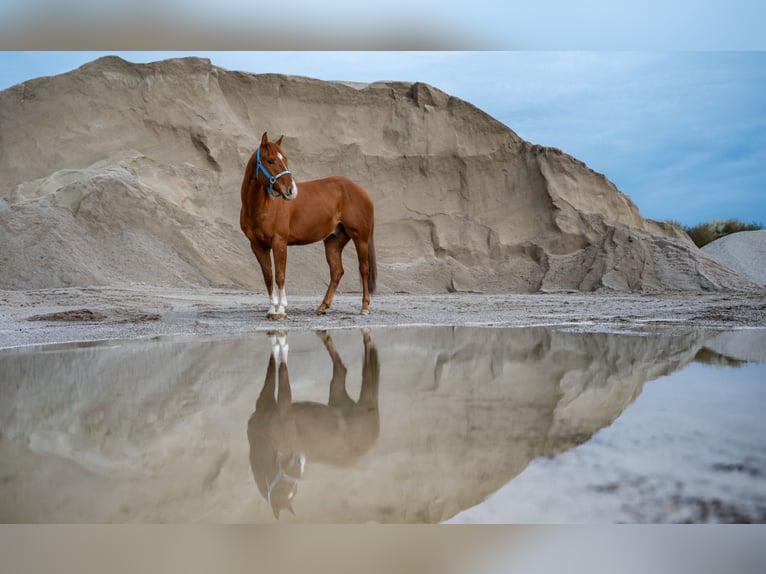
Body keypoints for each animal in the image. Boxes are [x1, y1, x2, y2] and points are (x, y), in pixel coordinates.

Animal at [240, 132, 377, 319]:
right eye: (270, 160)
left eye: (285, 159)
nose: (291, 190)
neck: (261, 207)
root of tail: (361, 191)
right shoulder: (257, 245)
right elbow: (268, 276)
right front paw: (271, 310)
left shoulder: (279, 242)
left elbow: (280, 275)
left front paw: (281, 310)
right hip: (333, 241)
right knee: (337, 271)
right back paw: (322, 307)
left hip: (360, 238)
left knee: (364, 269)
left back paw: (364, 307)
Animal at [247, 330, 380, 519]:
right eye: (285, 488)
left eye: (293, 489)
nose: (301, 459)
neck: (262, 438)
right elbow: (272, 368)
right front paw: (276, 342)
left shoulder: (284, 409)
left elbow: (283, 372)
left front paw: (283, 343)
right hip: (337, 395)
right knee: (341, 369)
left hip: (364, 399)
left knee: (365, 369)